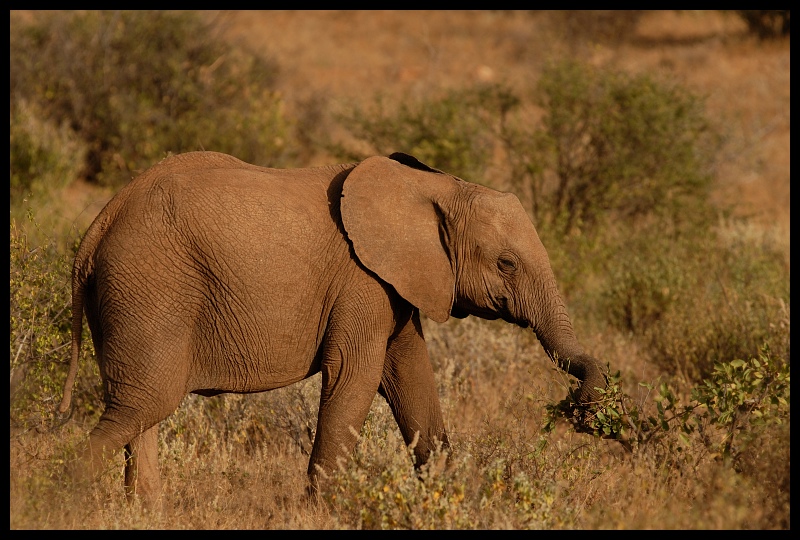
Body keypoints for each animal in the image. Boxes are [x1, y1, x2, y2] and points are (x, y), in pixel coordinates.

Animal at [57, 150, 608, 504]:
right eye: (507, 264)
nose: (575, 408)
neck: (436, 185)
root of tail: (97, 228)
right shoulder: (362, 279)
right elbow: (354, 375)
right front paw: (323, 511)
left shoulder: (395, 284)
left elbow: (411, 376)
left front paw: (451, 496)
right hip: (150, 289)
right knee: (143, 404)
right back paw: (60, 501)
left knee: (138, 410)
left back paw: (146, 511)